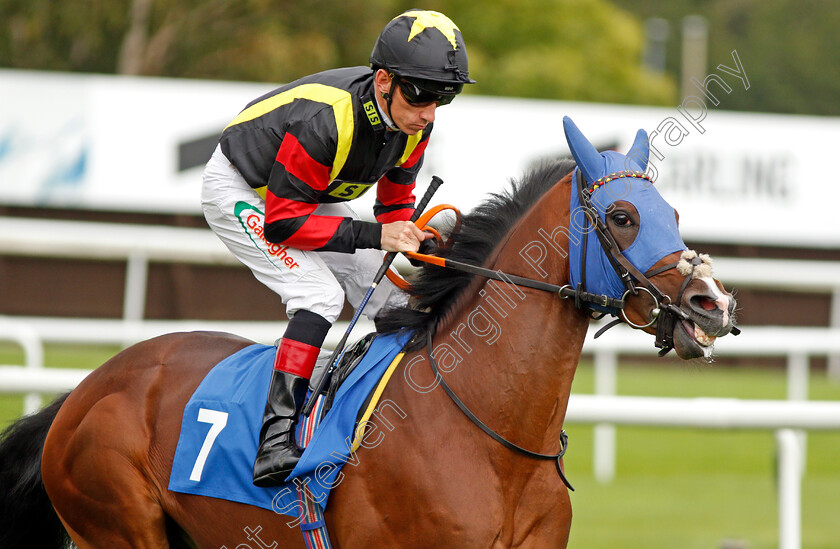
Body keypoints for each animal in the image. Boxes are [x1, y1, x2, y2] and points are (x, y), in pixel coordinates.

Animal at [0, 117, 736, 544]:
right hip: (118, 523)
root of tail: (82, 392)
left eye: (671, 211)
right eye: (622, 217)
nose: (712, 303)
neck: (489, 434)